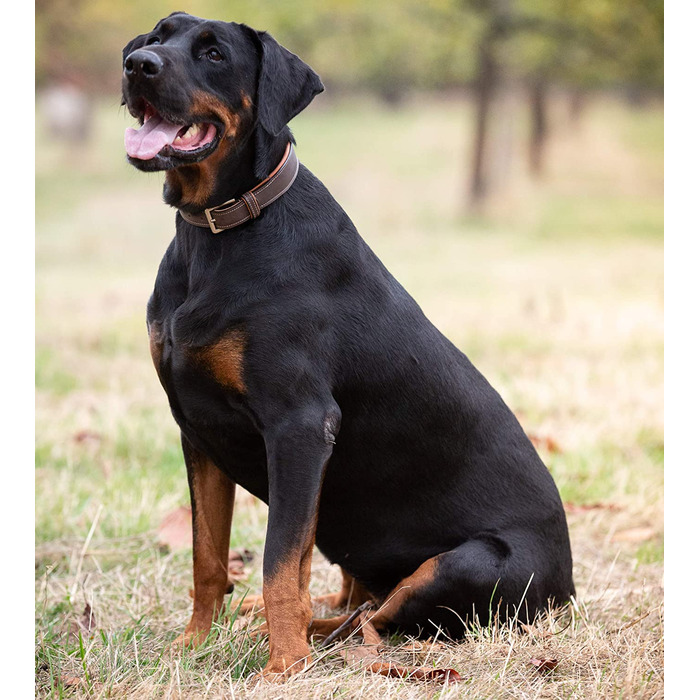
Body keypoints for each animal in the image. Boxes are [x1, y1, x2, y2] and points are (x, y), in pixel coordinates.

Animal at [121, 9, 576, 680]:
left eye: (214, 53)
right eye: (157, 36)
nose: (137, 66)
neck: (219, 231)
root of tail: (569, 591)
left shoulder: (301, 425)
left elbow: (280, 562)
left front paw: (283, 669)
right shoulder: (197, 428)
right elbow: (208, 556)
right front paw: (193, 645)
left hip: (468, 563)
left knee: (373, 620)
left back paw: (303, 638)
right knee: (354, 601)